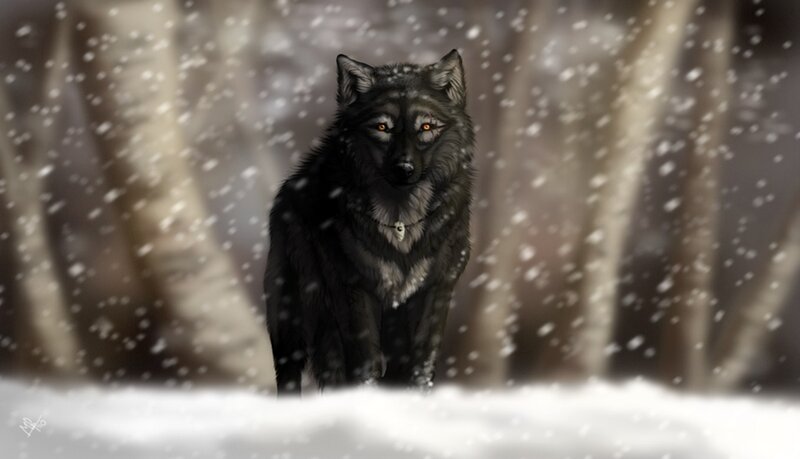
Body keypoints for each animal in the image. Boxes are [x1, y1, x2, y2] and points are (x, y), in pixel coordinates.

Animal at [264, 50, 474, 394]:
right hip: (291, 319)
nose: (404, 168)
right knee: (290, 373)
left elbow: (421, 364)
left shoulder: (436, 288)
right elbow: (366, 363)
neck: (401, 222)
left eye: (426, 126)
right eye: (382, 127)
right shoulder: (352, 289)